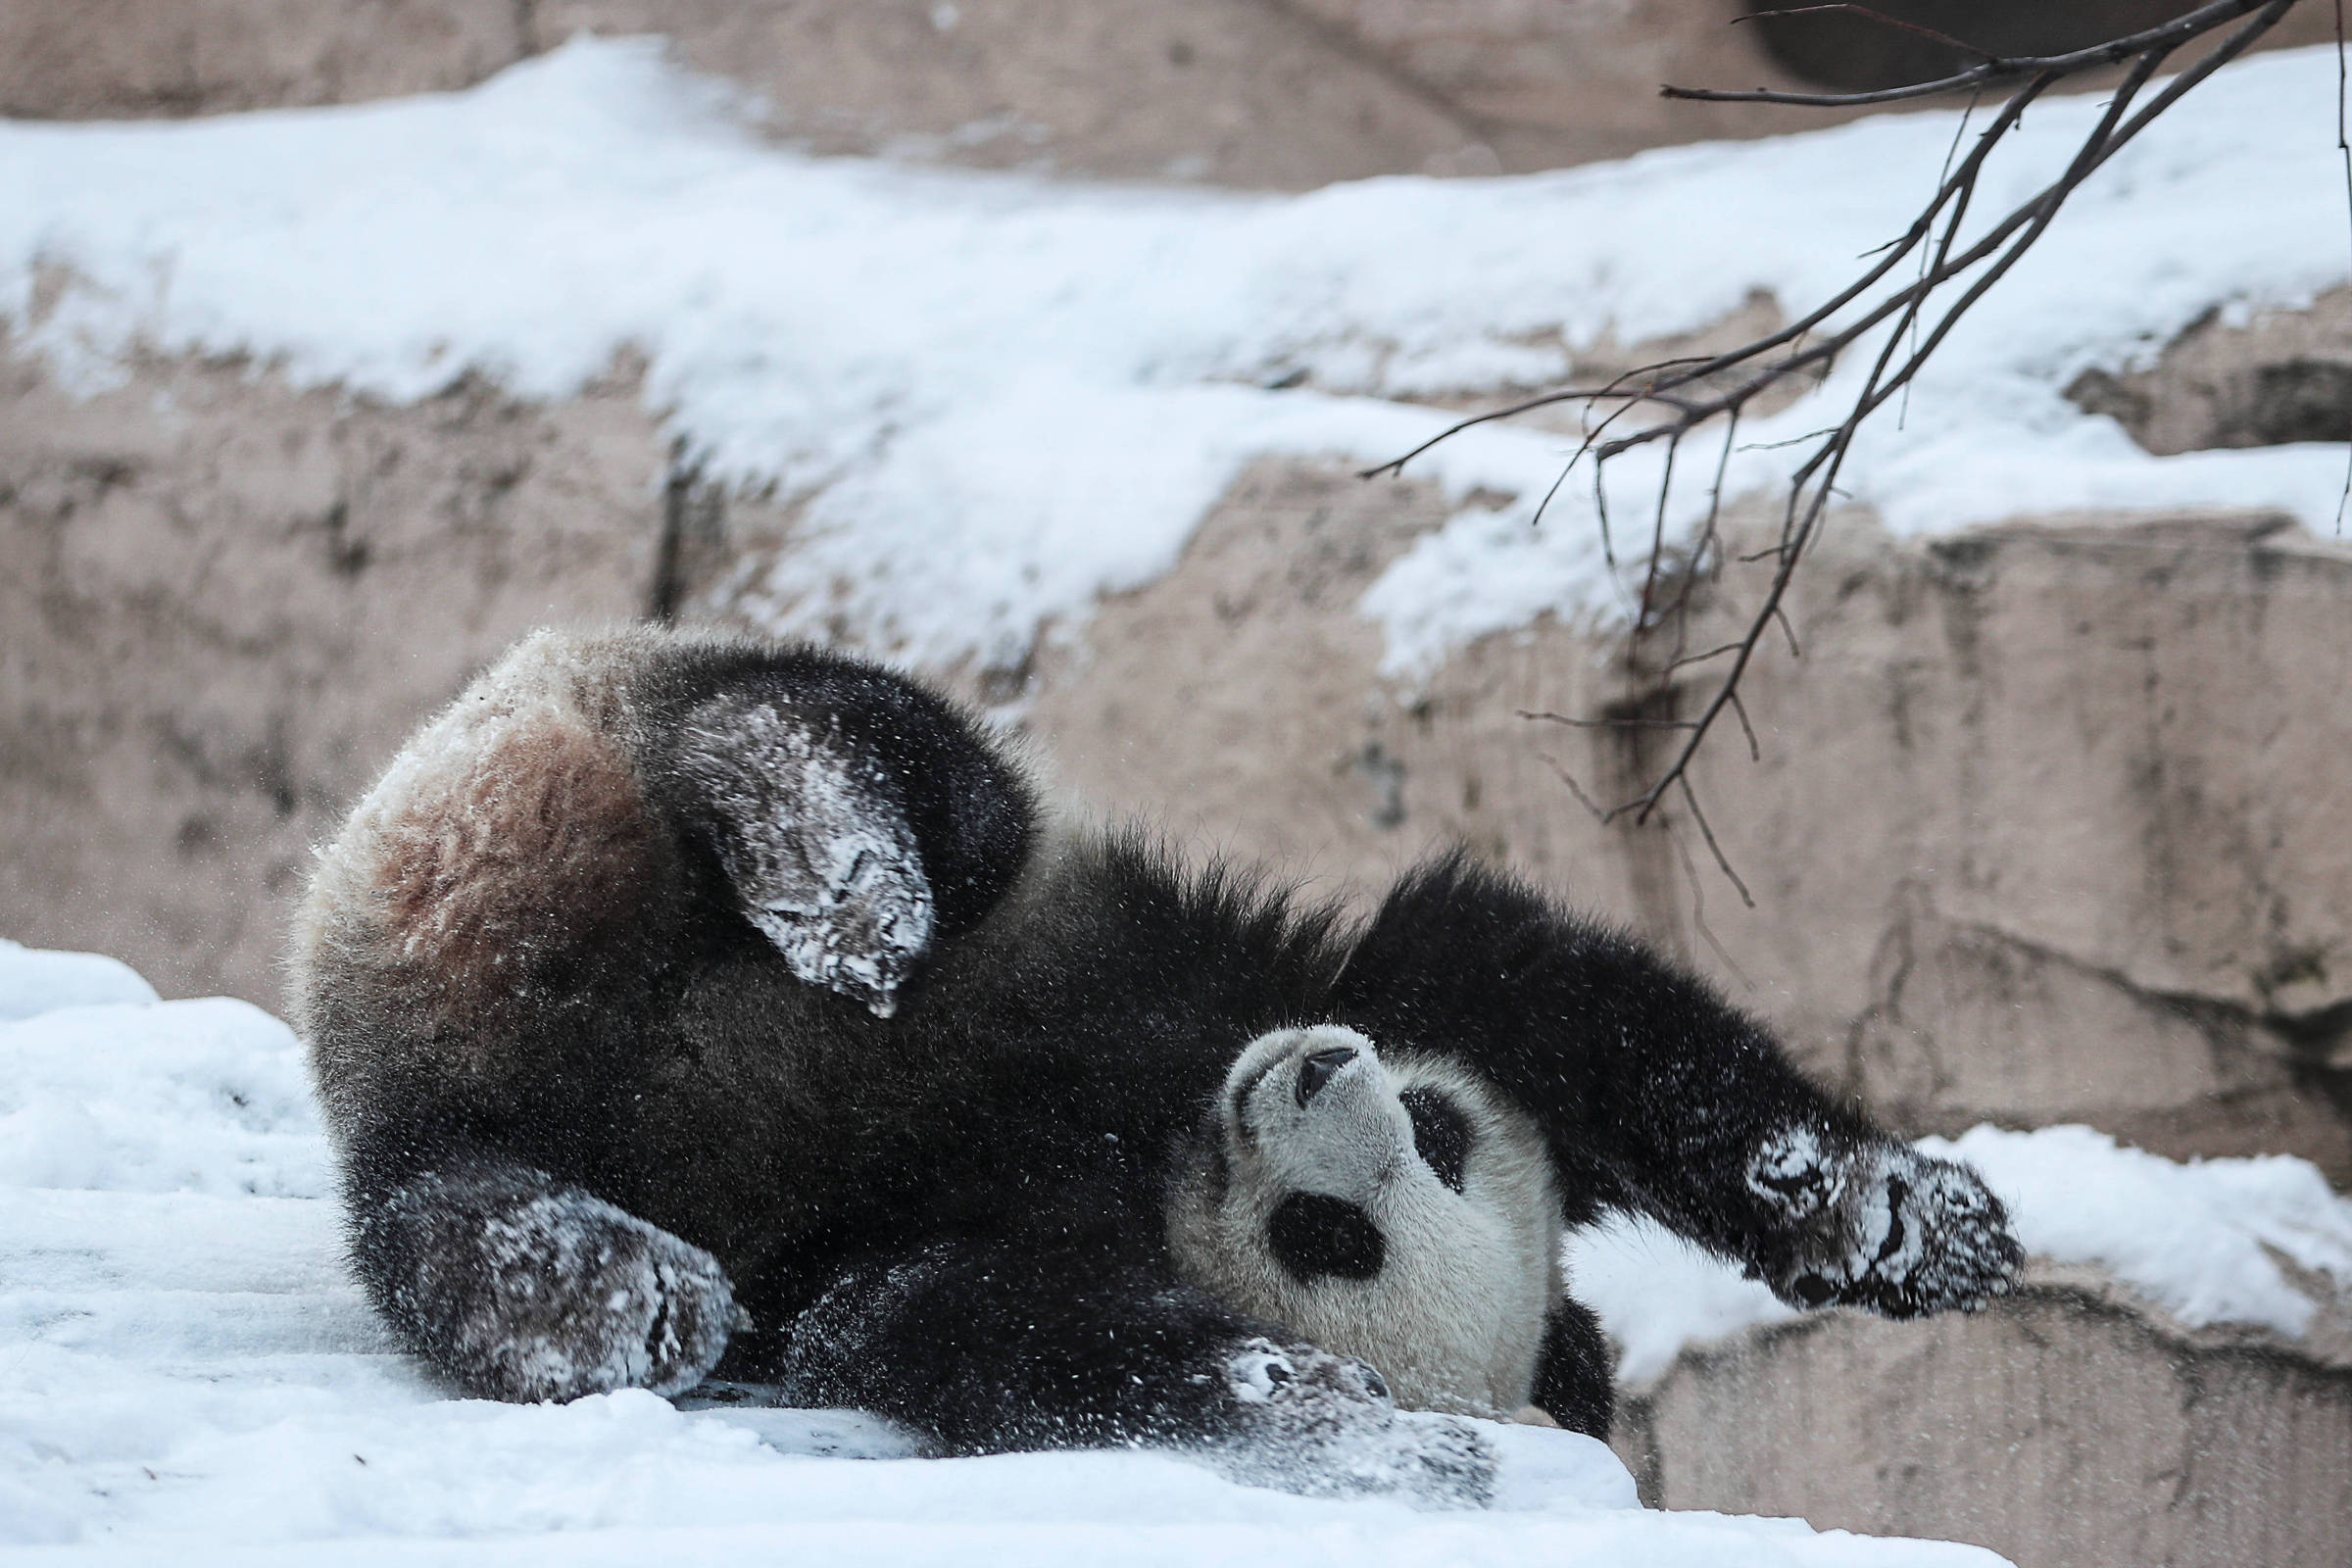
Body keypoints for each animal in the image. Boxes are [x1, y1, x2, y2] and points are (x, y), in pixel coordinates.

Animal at [294, 620, 2023, 1504]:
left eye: (1333, 1235)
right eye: (1438, 1133)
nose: (1317, 1078)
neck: (1157, 1135)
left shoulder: (931, 1247)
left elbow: (958, 1329)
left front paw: (1327, 1409)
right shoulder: (1297, 980)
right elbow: (1552, 994)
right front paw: (1905, 1220)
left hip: (469, 1092)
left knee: (448, 1208)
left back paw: (617, 1287)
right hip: (662, 722)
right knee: (893, 768)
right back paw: (842, 878)